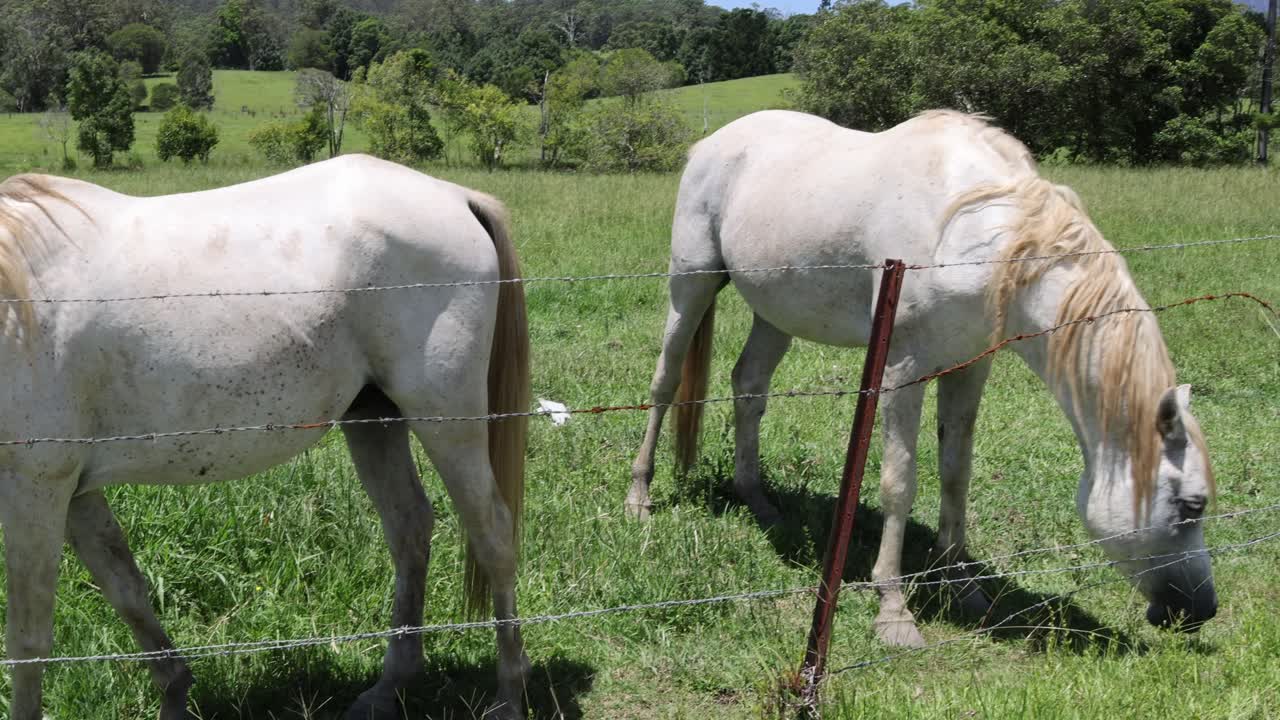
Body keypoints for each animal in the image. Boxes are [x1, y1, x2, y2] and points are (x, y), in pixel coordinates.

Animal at [0, 155, 531, 719]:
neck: (13, 309)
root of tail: (457, 197)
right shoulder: (75, 491)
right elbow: (125, 588)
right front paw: (175, 689)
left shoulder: (35, 488)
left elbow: (28, 640)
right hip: (373, 419)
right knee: (409, 527)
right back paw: (388, 688)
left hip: (447, 420)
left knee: (493, 534)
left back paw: (509, 695)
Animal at [626, 110, 1218, 647]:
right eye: (1192, 505)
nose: (1203, 609)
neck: (976, 232)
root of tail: (710, 142)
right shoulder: (901, 370)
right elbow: (899, 481)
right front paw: (893, 610)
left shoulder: (969, 367)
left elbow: (956, 474)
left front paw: (962, 585)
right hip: (692, 283)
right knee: (665, 382)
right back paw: (640, 498)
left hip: (774, 311)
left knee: (749, 386)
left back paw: (760, 502)